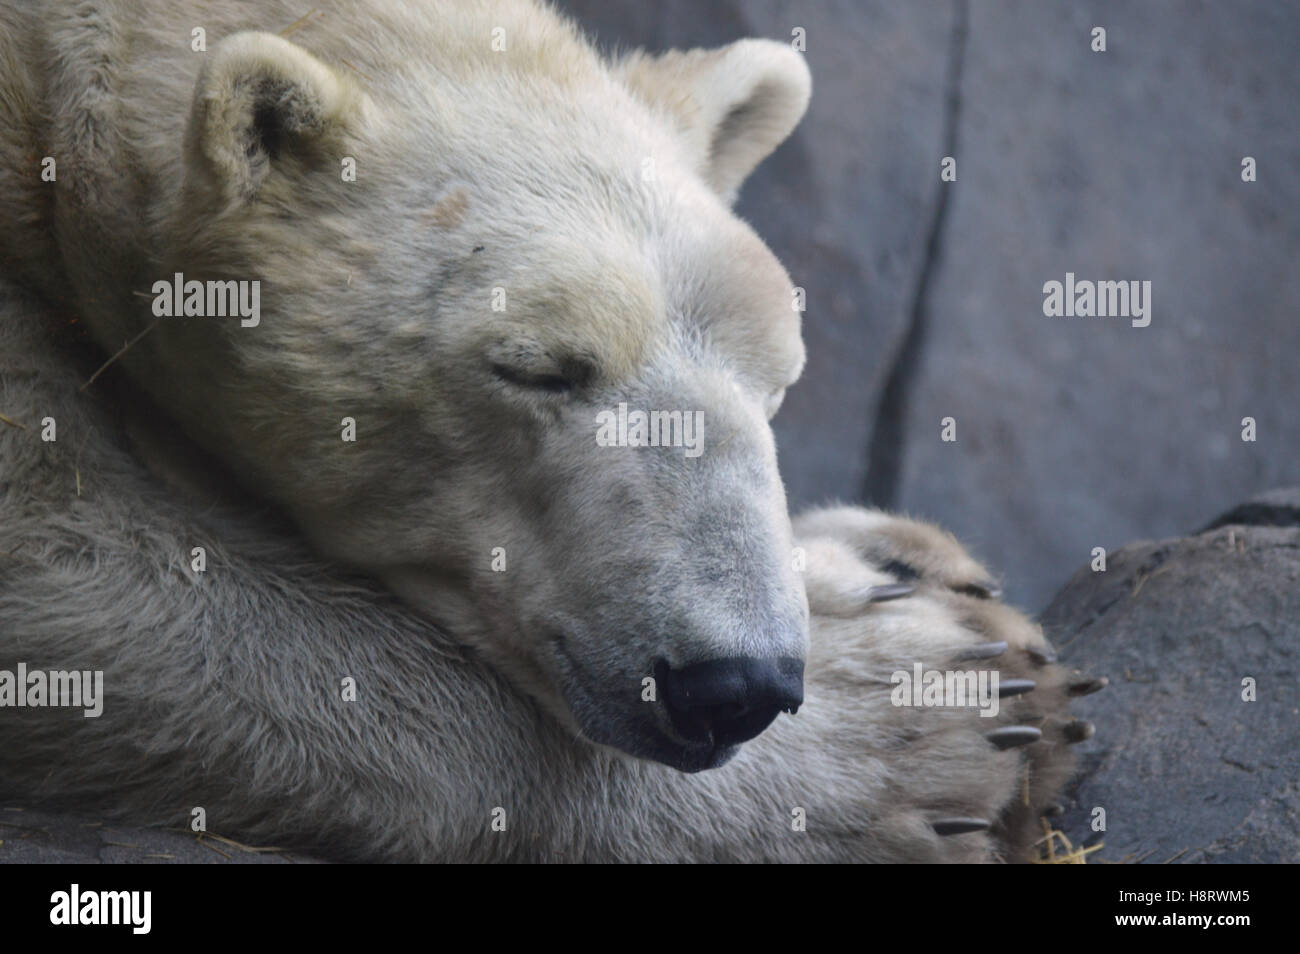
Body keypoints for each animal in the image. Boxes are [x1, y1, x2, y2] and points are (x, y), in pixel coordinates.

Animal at [0, 0, 1097, 863]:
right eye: (537, 368)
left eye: (777, 383)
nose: (734, 684)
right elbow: (75, 575)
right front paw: (925, 725)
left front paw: (900, 570)